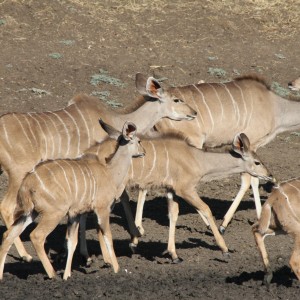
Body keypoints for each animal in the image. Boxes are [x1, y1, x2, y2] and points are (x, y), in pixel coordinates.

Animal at [0, 74, 197, 262]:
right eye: (177, 99)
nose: (194, 112)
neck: (116, 120)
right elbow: (117, 198)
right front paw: (130, 239)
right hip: (19, 173)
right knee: (7, 207)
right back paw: (25, 255)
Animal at [0, 118, 145, 280]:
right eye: (139, 141)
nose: (144, 152)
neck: (110, 172)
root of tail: (27, 183)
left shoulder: (75, 213)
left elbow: (71, 242)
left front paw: (67, 275)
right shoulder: (102, 209)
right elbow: (108, 237)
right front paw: (116, 268)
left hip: (31, 213)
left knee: (8, 235)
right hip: (53, 214)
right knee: (36, 236)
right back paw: (52, 274)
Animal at [82, 132, 274, 262]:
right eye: (257, 162)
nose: (270, 175)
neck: (197, 159)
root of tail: (87, 153)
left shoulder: (171, 190)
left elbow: (173, 215)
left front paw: (173, 254)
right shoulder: (185, 189)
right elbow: (206, 209)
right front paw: (224, 248)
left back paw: (91, 256)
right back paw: (108, 257)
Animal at [137, 74, 300, 233]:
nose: (291, 83)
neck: (275, 107)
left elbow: (253, 178)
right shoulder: (251, 144)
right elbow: (249, 180)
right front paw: (225, 224)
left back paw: (139, 226)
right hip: (192, 142)